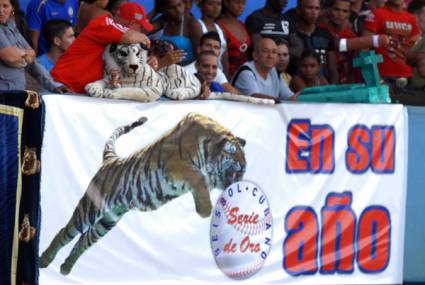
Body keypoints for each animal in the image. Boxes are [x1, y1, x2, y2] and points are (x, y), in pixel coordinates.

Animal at [40, 112, 245, 274]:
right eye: (240, 168)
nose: (241, 181)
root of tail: (110, 160)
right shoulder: (175, 165)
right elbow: (197, 177)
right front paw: (205, 210)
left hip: (108, 220)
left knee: (84, 240)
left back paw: (66, 267)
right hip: (90, 209)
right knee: (65, 232)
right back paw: (44, 260)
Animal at [84, 42, 274, 104]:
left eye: (137, 54)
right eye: (123, 53)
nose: (134, 66)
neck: (124, 74)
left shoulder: (151, 90)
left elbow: (130, 91)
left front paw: (111, 92)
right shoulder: (110, 75)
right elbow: (101, 81)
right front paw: (94, 88)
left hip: (178, 77)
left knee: (191, 90)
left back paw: (179, 93)